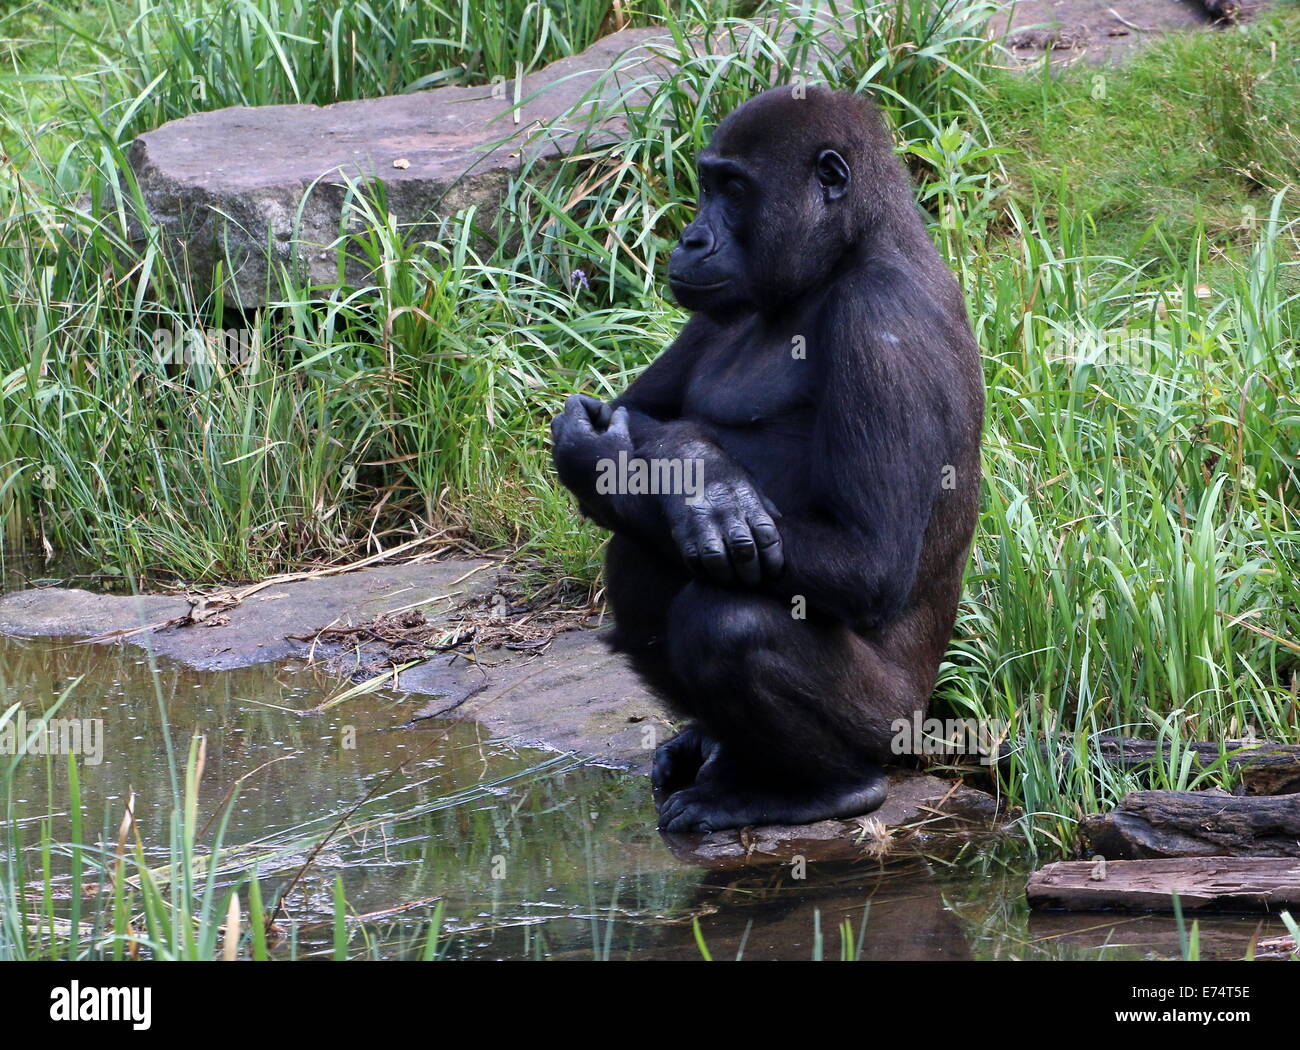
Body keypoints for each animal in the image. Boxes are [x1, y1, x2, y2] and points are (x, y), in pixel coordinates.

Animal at [551, 86, 982, 831]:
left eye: (734, 189)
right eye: (706, 186)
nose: (691, 239)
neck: (849, 249)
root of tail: (924, 722)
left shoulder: (881, 318)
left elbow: (869, 561)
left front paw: (681, 472)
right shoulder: (715, 307)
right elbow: (630, 411)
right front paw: (695, 471)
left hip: (894, 723)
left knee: (730, 621)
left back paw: (824, 789)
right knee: (641, 555)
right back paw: (721, 750)